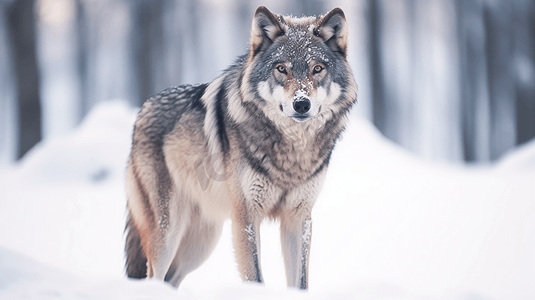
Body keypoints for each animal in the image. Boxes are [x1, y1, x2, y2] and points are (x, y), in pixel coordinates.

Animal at [125, 5, 358, 290]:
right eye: (281, 68)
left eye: (317, 68)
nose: (302, 104)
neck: (292, 149)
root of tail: (143, 109)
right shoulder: (246, 216)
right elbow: (254, 276)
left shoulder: (298, 218)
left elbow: (300, 281)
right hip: (168, 231)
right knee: (153, 277)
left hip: (201, 243)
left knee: (170, 280)